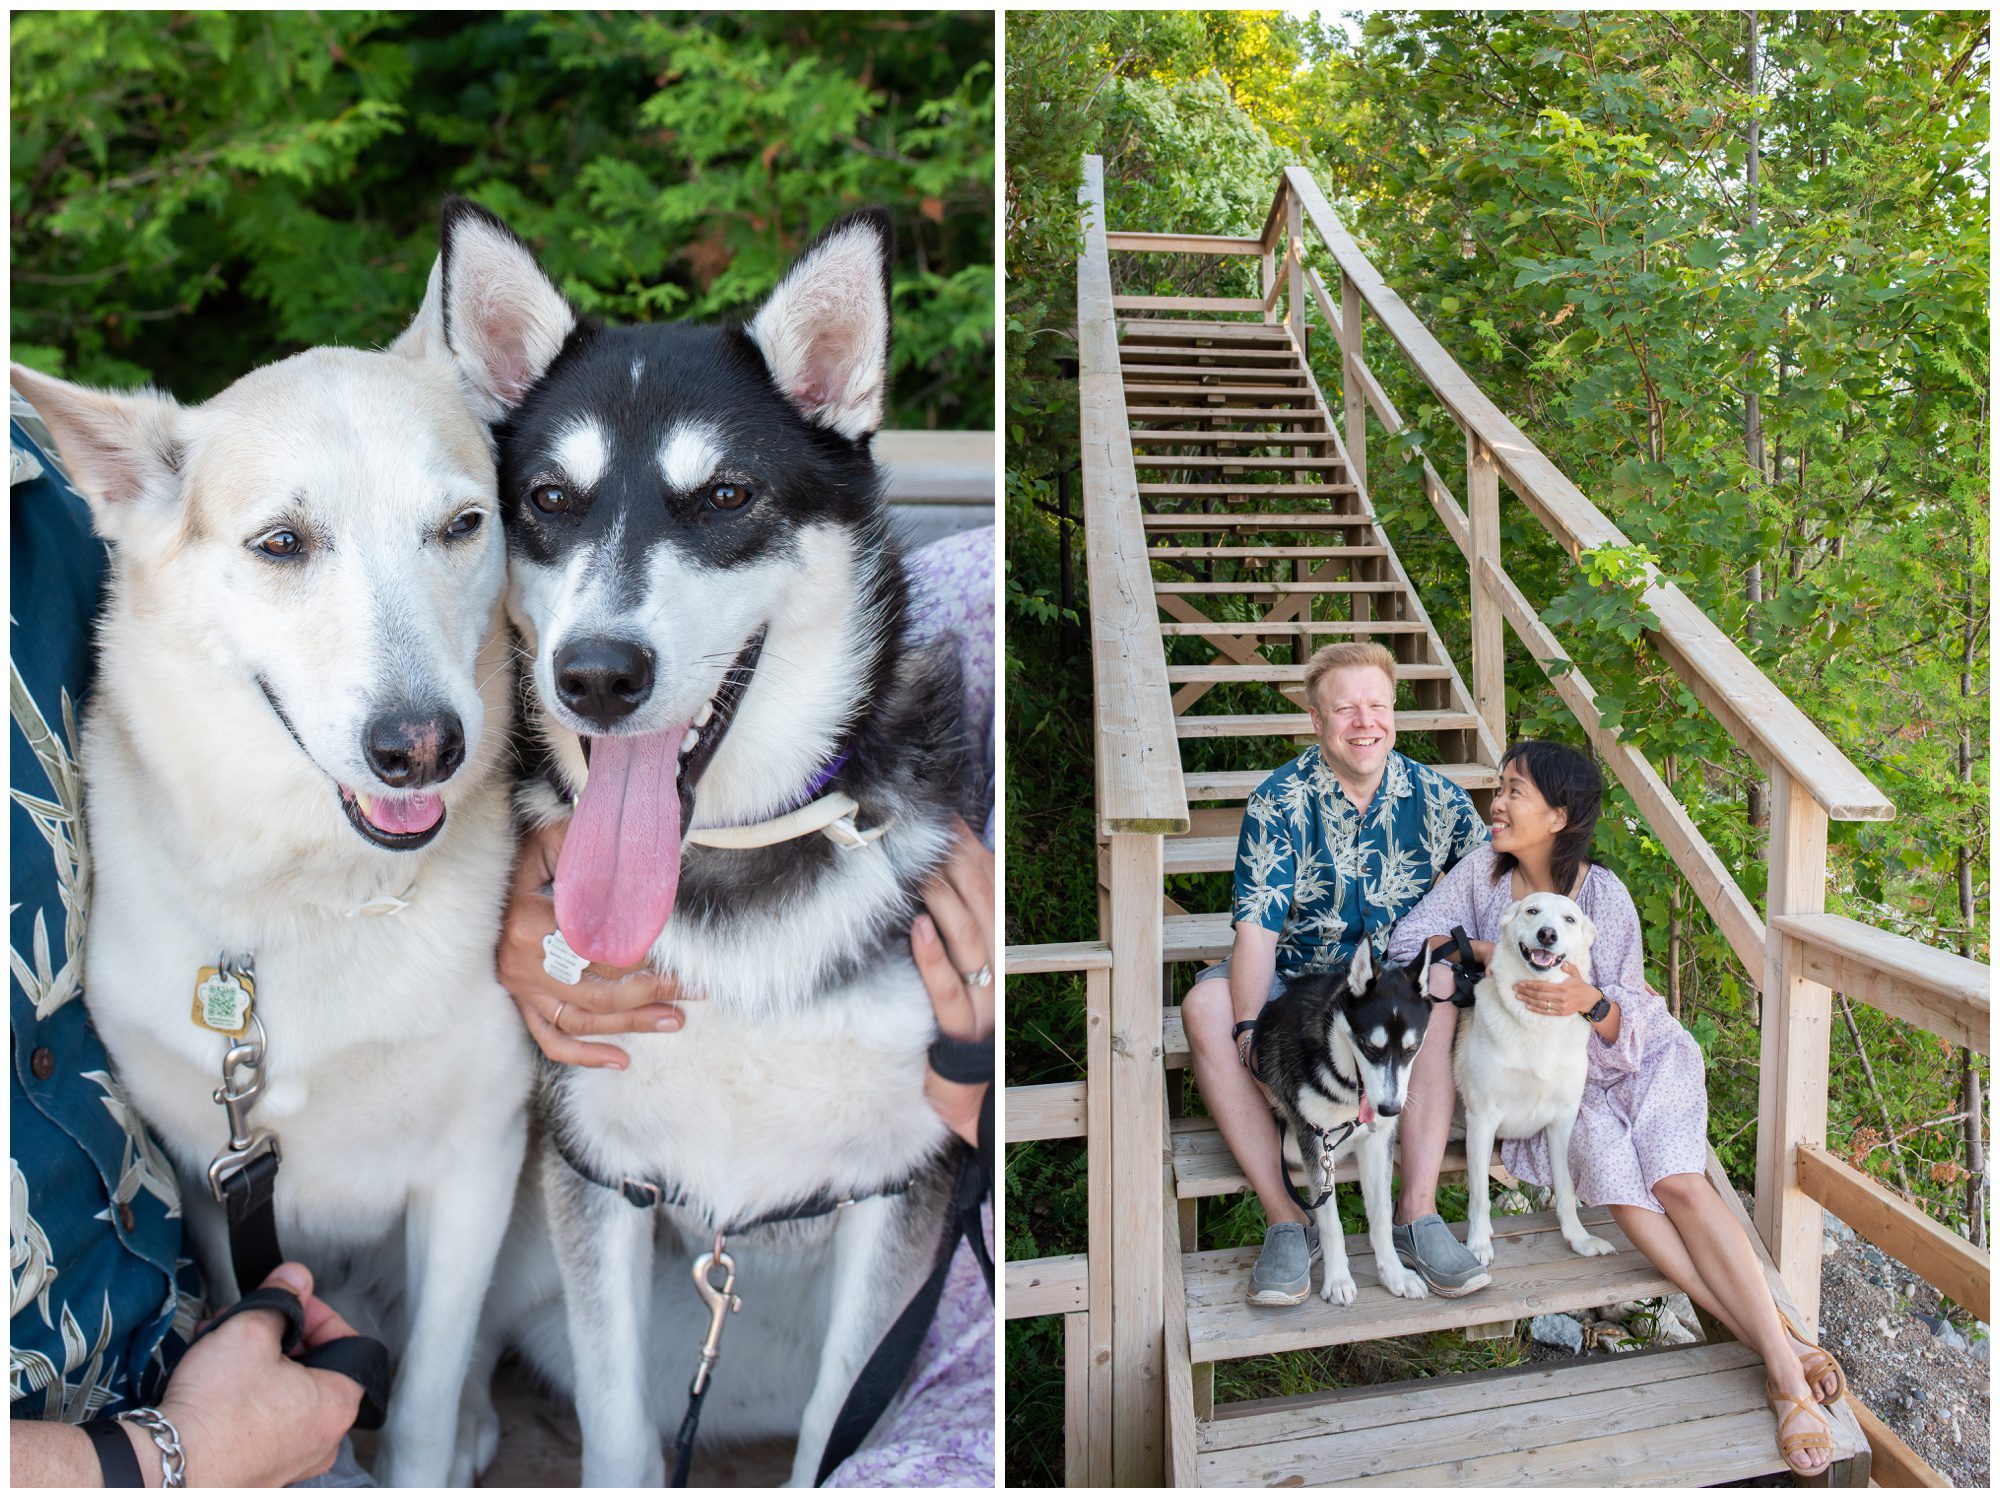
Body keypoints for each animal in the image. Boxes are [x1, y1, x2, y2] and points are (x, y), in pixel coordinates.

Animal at [1464, 896, 1616, 1272]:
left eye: (1569, 919)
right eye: (1532, 911)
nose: (1547, 934)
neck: (1536, 1023)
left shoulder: (1563, 1122)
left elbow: (1566, 1190)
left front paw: (1578, 1238)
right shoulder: (1481, 1119)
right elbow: (1479, 1195)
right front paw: (1478, 1243)